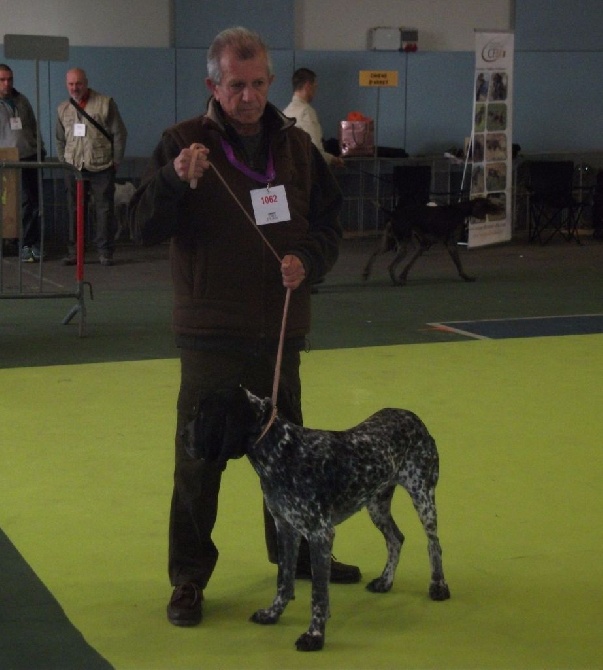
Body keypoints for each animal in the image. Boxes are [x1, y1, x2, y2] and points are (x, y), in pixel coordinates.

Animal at [184, 386, 448, 652]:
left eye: (204, 413)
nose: (184, 437)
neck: (281, 451)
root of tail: (411, 415)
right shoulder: (286, 528)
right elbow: (284, 580)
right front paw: (273, 613)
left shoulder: (319, 534)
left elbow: (318, 594)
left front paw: (314, 635)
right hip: (377, 503)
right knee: (396, 538)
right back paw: (385, 581)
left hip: (422, 495)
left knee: (433, 544)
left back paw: (438, 586)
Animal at [364, 197, 504, 286]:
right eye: (488, 204)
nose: (501, 207)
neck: (460, 211)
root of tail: (393, 213)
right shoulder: (450, 243)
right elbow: (459, 264)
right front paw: (466, 277)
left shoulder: (425, 244)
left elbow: (411, 262)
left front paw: (403, 276)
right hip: (402, 246)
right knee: (390, 266)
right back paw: (395, 282)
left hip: (390, 243)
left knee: (374, 253)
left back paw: (366, 273)